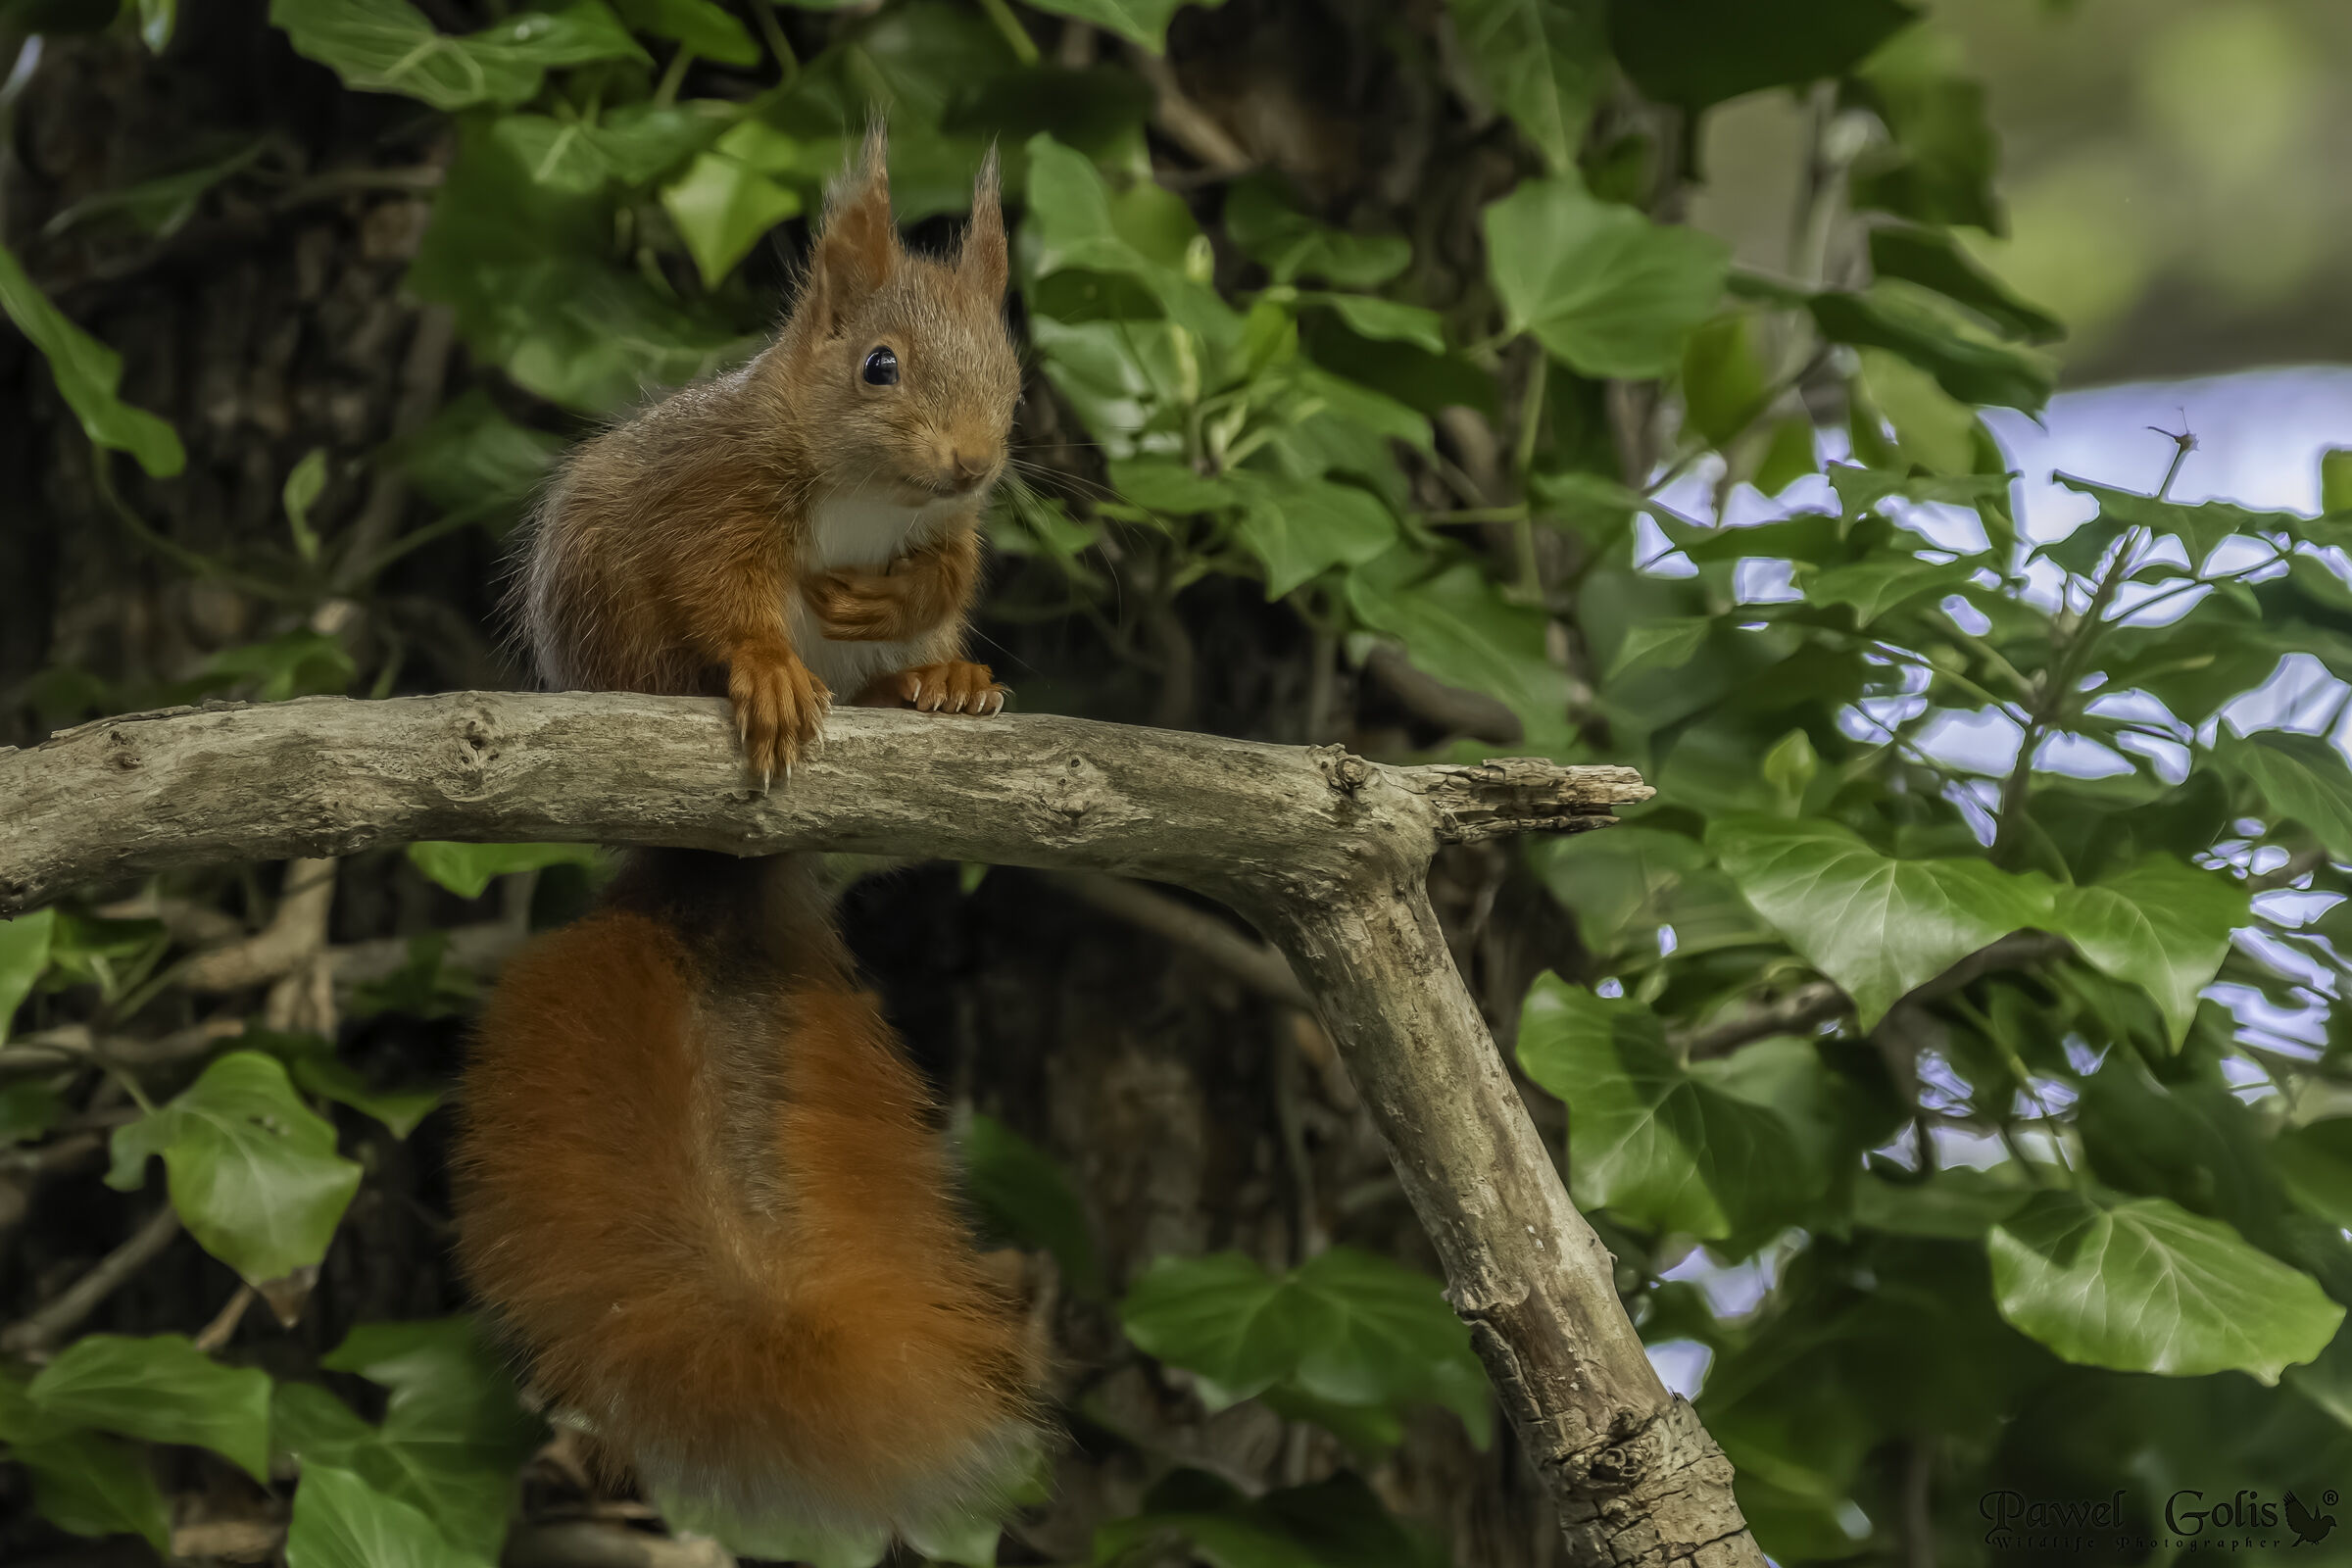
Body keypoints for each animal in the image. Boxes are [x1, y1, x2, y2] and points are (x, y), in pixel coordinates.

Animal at [451, 127, 1039, 1544]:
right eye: (879, 364)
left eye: (1013, 370)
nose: (972, 461)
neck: (868, 493)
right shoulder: (718, 500)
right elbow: (725, 592)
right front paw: (770, 670)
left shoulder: (949, 532)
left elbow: (947, 572)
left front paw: (903, 603)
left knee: (917, 649)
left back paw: (935, 683)